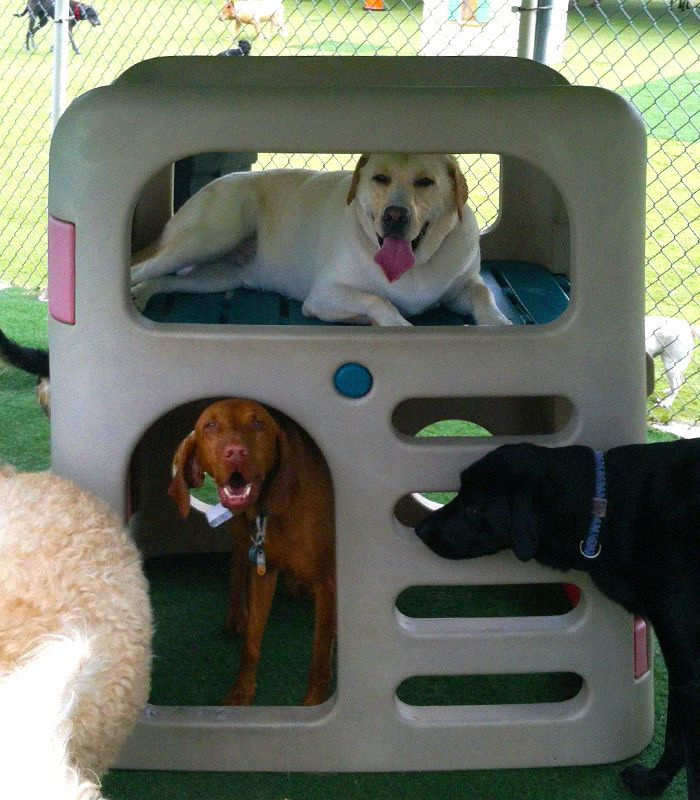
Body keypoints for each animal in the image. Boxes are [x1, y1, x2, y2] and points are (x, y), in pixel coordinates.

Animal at [131, 153, 512, 328]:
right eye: (380, 178)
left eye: (425, 182)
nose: (394, 216)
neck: (415, 265)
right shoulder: (325, 294)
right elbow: (377, 299)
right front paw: (396, 323)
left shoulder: (462, 286)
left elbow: (482, 291)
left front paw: (497, 322)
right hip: (210, 235)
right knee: (143, 266)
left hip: (219, 276)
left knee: (163, 278)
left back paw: (141, 295)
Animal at [168, 396, 334, 704]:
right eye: (210, 425)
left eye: (258, 423)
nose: (236, 453)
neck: (271, 509)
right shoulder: (263, 570)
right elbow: (251, 643)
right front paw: (241, 692)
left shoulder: (328, 585)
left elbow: (319, 661)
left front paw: (313, 705)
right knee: (236, 562)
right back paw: (236, 615)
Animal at [416, 440, 700, 800]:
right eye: (460, 491)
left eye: (475, 508)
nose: (420, 528)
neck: (605, 506)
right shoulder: (683, 664)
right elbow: (678, 737)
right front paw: (653, 782)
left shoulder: (690, 668)